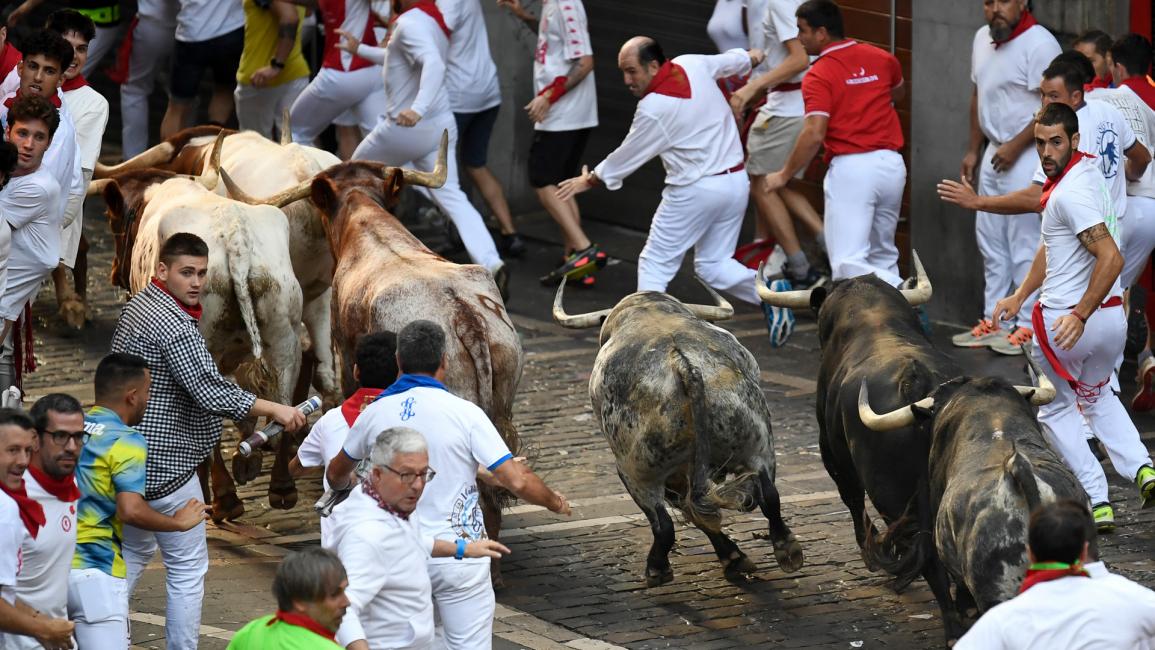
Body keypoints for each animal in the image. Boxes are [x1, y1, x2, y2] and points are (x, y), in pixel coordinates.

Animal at [552, 282, 803, 586]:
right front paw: (734, 557)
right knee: (769, 496)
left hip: (638, 471)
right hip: (757, 442)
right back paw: (786, 549)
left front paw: (731, 557)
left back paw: (657, 569)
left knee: (664, 523)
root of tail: (683, 364)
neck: (647, 309)